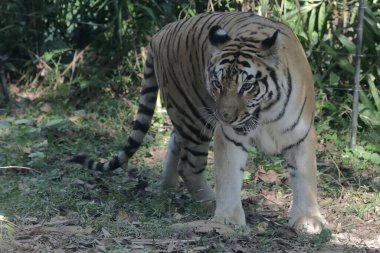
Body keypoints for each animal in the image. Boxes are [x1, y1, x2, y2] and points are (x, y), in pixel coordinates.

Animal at [70, 11, 326, 233]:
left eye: (247, 86)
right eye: (217, 84)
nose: (225, 117)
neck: (264, 116)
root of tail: (160, 32)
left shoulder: (301, 134)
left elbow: (305, 178)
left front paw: (308, 221)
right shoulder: (230, 136)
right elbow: (229, 176)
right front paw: (227, 220)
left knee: (175, 140)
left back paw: (166, 188)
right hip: (193, 115)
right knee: (189, 165)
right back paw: (208, 199)